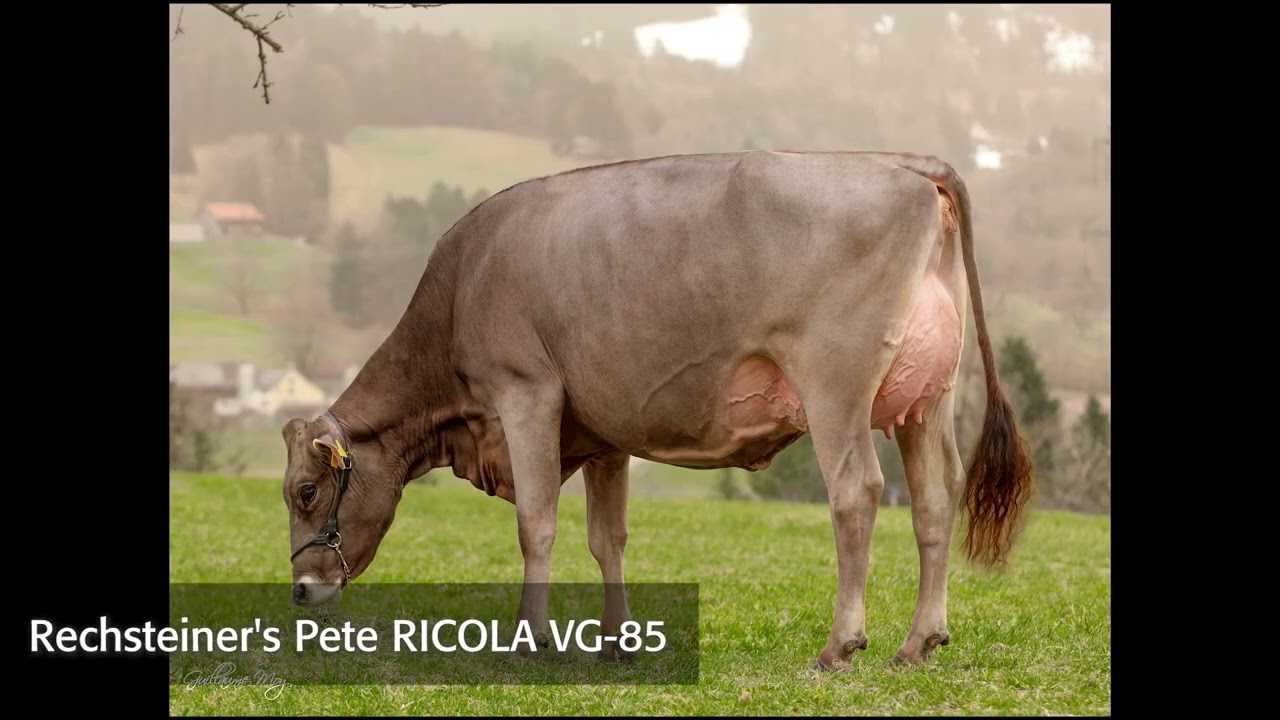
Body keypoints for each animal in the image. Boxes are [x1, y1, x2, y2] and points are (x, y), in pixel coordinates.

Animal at [281, 150, 1035, 668]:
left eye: (306, 490)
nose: (302, 593)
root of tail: (900, 163)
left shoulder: (526, 393)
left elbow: (536, 525)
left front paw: (531, 638)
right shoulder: (602, 431)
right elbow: (606, 538)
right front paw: (617, 640)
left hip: (835, 387)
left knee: (857, 492)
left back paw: (840, 645)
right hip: (926, 400)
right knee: (935, 499)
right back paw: (918, 641)